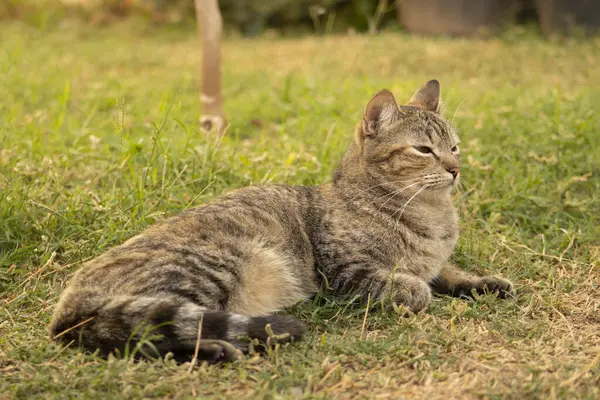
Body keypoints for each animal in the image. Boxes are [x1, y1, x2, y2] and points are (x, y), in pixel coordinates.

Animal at [49, 80, 512, 362]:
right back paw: (219, 349)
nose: (456, 168)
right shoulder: (346, 274)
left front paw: (483, 282)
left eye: (455, 146)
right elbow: (414, 286)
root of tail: (69, 299)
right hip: (211, 268)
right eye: (423, 150)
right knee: (143, 334)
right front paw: (420, 290)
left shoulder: (435, 260)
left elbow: (449, 271)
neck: (431, 214)